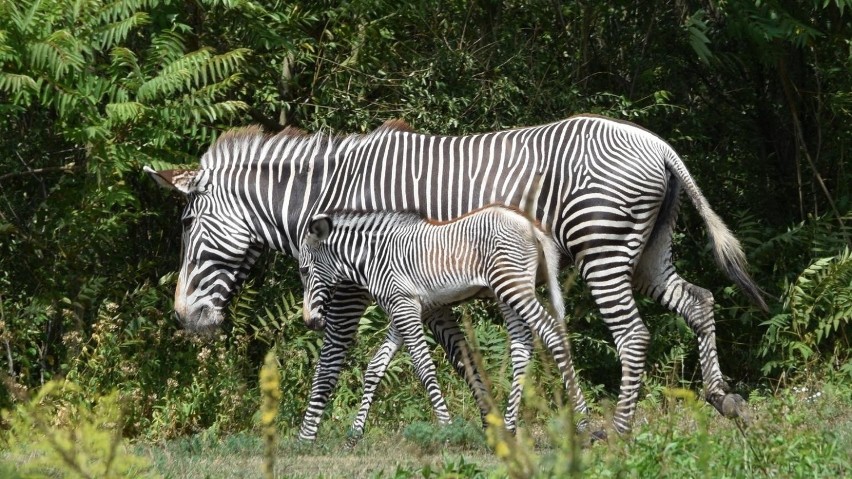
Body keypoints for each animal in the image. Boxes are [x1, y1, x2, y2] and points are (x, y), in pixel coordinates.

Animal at [298, 206, 584, 438]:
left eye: (303, 270)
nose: (310, 322)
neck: (373, 257)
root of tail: (530, 225)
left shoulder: (404, 307)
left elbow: (424, 367)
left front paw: (446, 426)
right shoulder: (403, 309)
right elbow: (376, 368)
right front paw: (356, 432)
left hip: (512, 286)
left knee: (552, 333)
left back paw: (582, 421)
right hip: (507, 292)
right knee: (522, 347)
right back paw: (510, 426)